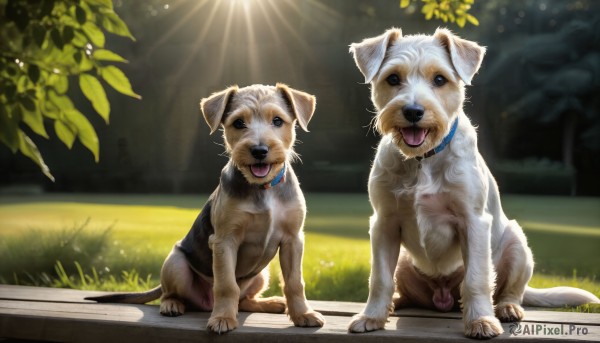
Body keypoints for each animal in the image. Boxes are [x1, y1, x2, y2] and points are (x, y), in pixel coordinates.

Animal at [85, 84, 324, 334]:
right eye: (239, 123)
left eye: (277, 120)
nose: (259, 150)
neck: (263, 188)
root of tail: (205, 303)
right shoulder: (224, 240)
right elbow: (227, 285)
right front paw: (223, 318)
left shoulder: (293, 240)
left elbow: (294, 282)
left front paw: (303, 314)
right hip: (176, 265)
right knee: (172, 293)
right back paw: (173, 305)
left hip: (261, 275)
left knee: (244, 300)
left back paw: (271, 303)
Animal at [346, 28, 600, 340]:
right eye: (393, 78)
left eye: (439, 79)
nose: (413, 111)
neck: (423, 160)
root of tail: (442, 296)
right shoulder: (385, 223)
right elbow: (380, 278)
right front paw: (371, 316)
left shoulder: (473, 222)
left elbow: (477, 278)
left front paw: (480, 321)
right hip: (406, 260)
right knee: (404, 290)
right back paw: (396, 302)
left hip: (518, 246)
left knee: (509, 290)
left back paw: (507, 308)